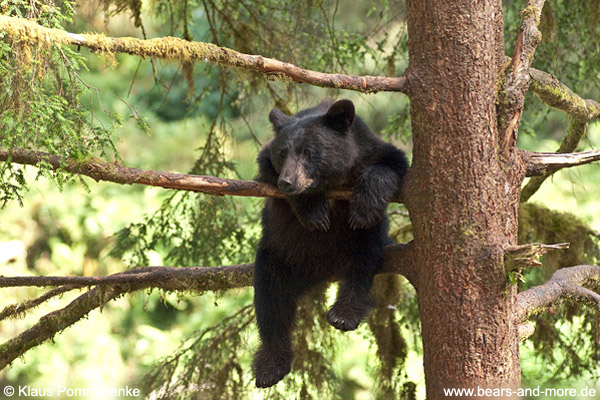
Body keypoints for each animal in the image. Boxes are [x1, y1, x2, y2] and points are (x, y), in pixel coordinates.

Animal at [251, 99, 410, 388]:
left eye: (308, 151)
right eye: (282, 153)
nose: (287, 181)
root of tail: (320, 271)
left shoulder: (369, 149)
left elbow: (391, 164)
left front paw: (364, 206)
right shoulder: (267, 165)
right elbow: (272, 176)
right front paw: (314, 211)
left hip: (361, 243)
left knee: (362, 264)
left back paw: (344, 313)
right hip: (278, 253)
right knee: (271, 300)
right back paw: (271, 365)